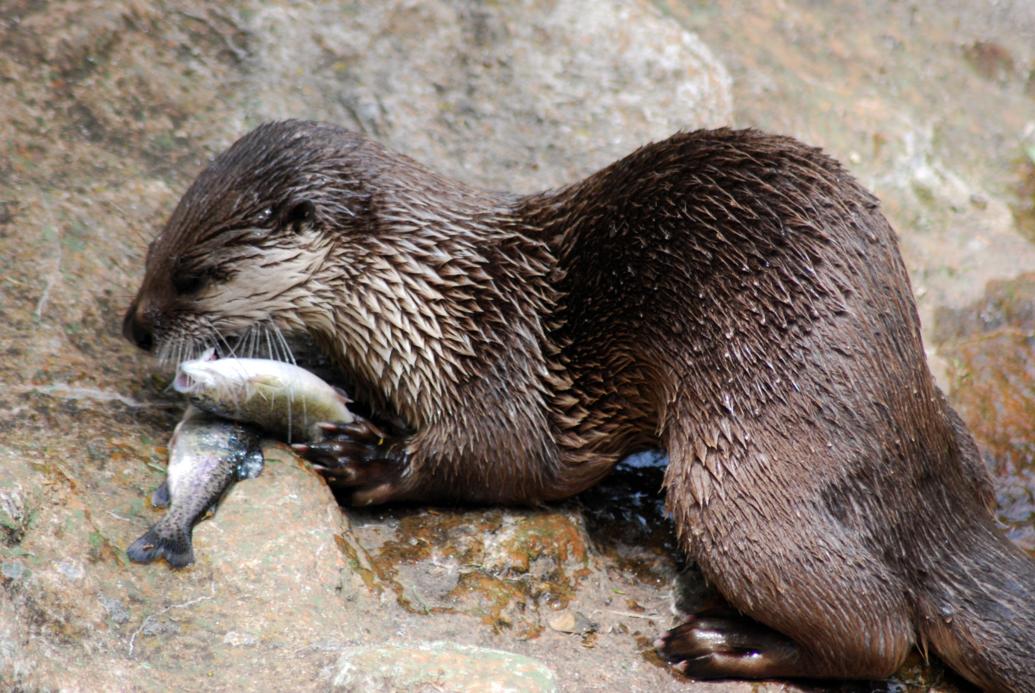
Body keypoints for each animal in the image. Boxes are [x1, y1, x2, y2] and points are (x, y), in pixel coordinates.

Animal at [123, 121, 1035, 690]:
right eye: (154, 247)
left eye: (196, 275)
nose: (134, 325)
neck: (419, 299)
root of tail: (914, 456)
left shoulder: (497, 363)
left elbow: (499, 458)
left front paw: (366, 458)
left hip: (740, 455)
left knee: (877, 630)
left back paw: (721, 643)